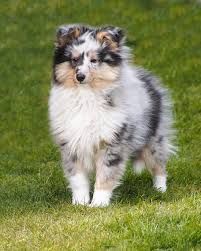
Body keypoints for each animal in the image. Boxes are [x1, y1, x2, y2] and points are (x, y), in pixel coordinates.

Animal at [48, 24, 176, 206]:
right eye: (74, 60)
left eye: (94, 61)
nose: (80, 77)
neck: (86, 95)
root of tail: (147, 78)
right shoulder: (71, 144)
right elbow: (78, 178)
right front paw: (80, 203)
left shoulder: (111, 142)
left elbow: (105, 175)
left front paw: (98, 204)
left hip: (153, 139)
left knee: (159, 164)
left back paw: (160, 190)